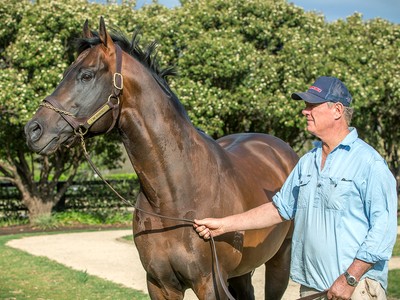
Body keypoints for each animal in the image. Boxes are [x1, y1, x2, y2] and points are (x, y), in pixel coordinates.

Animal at [25, 17, 298, 298]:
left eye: (86, 75)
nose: (33, 130)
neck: (174, 196)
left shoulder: (209, 284)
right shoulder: (159, 284)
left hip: (279, 261)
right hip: (241, 273)